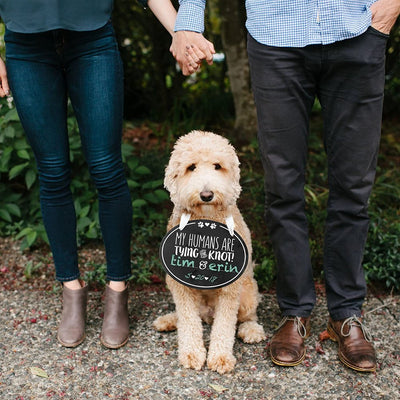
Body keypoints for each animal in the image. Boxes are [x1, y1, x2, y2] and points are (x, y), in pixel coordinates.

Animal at [153, 130, 266, 374]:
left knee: (246, 316)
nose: (206, 194)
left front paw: (220, 357)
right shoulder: (180, 284)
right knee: (190, 316)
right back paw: (170, 320)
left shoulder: (230, 289)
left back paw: (251, 330)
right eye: (191, 167)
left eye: (217, 166)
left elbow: (225, 325)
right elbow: (188, 321)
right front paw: (191, 353)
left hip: (247, 291)